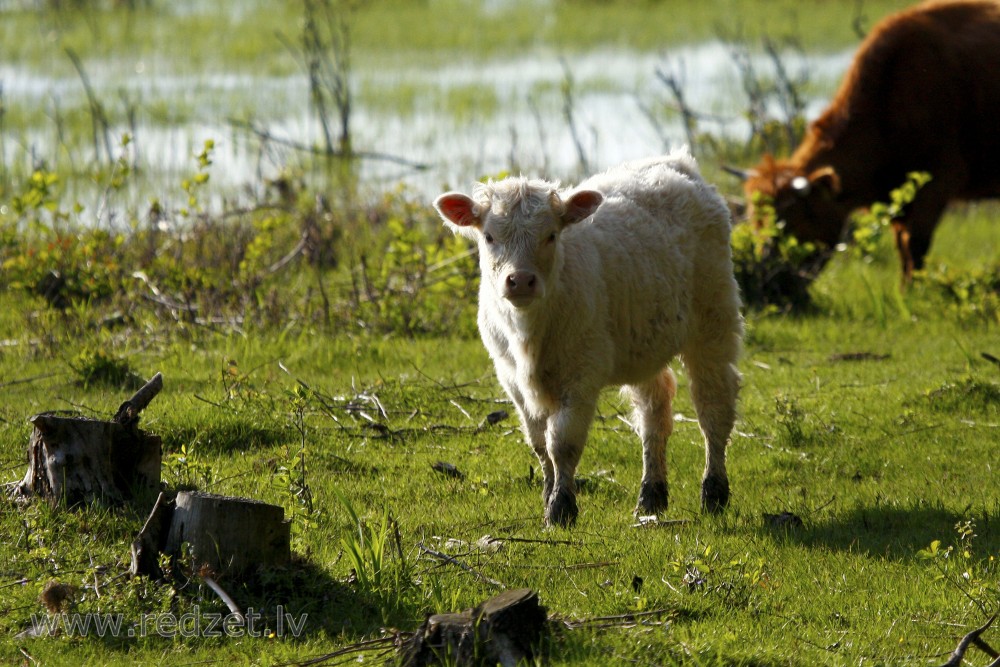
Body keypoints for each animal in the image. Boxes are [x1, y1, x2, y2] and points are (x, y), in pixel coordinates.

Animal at [432, 150, 744, 528]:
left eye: (551, 235)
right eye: (489, 237)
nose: (520, 280)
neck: (529, 338)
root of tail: (677, 162)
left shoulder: (581, 376)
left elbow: (562, 443)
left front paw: (561, 507)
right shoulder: (511, 379)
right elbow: (539, 442)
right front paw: (548, 495)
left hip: (714, 318)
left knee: (713, 406)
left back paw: (714, 493)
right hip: (645, 340)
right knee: (654, 412)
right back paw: (651, 495)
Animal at [736, 0, 1000, 282]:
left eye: (789, 224)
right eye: (755, 223)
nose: (768, 274)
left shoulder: (937, 183)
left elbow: (915, 248)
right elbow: (903, 249)